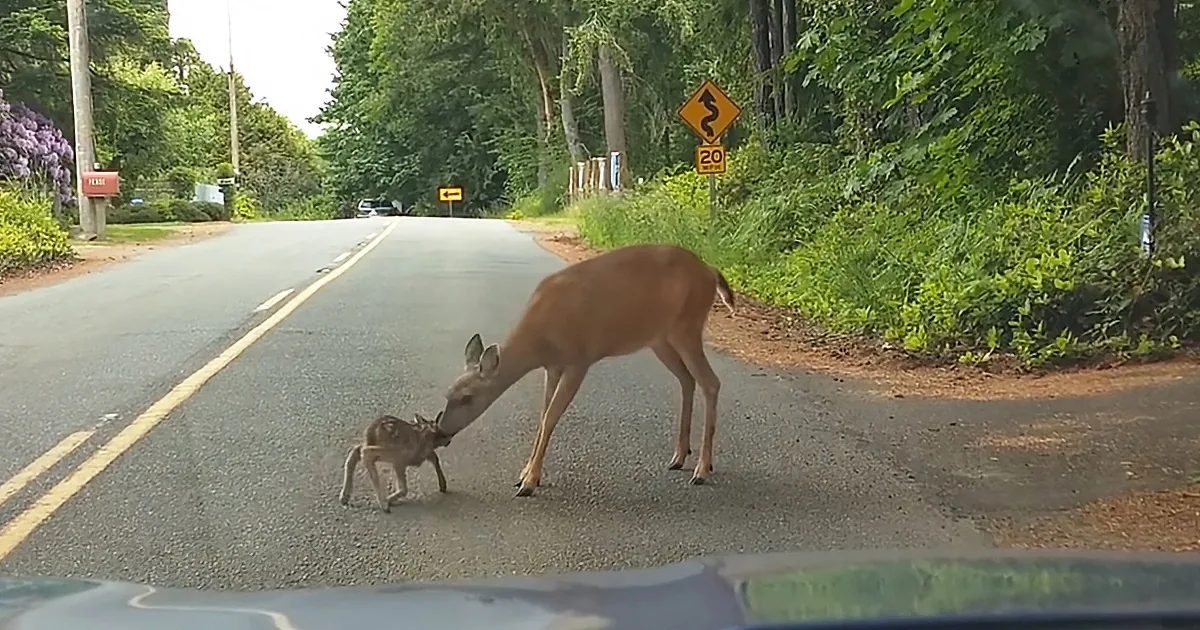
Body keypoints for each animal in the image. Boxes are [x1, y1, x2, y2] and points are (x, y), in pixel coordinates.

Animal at [435, 243, 735, 497]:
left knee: (711, 382)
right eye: (447, 393)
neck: (540, 340)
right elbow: (542, 415)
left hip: (687, 325)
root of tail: (709, 271)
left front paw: (529, 482)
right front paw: (525, 473)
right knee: (688, 379)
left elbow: (550, 417)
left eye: (467, 397)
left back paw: (702, 470)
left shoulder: (579, 360)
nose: (440, 430)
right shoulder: (553, 366)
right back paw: (679, 457)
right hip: (660, 338)